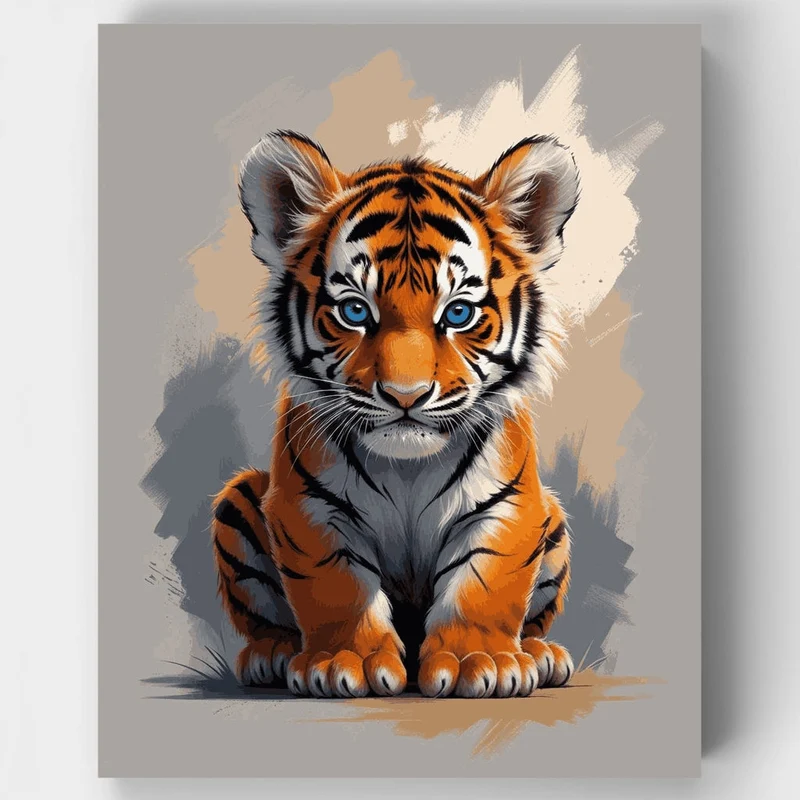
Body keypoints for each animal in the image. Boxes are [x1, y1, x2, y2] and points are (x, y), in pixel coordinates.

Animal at [210, 129, 580, 698]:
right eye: (355, 311)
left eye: (458, 313)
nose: (406, 396)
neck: (407, 469)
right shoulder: (309, 510)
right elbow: (337, 585)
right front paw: (345, 661)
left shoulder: (508, 507)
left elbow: (484, 584)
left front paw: (481, 661)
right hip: (239, 497)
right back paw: (272, 656)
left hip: (553, 516)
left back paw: (540, 654)